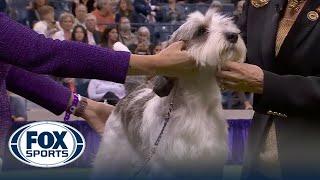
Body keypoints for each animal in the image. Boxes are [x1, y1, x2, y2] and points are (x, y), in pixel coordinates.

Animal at [93, 9, 248, 179]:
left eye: (226, 25)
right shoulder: (166, 166)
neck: (198, 105)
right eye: (201, 30)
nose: (233, 36)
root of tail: (136, 90)